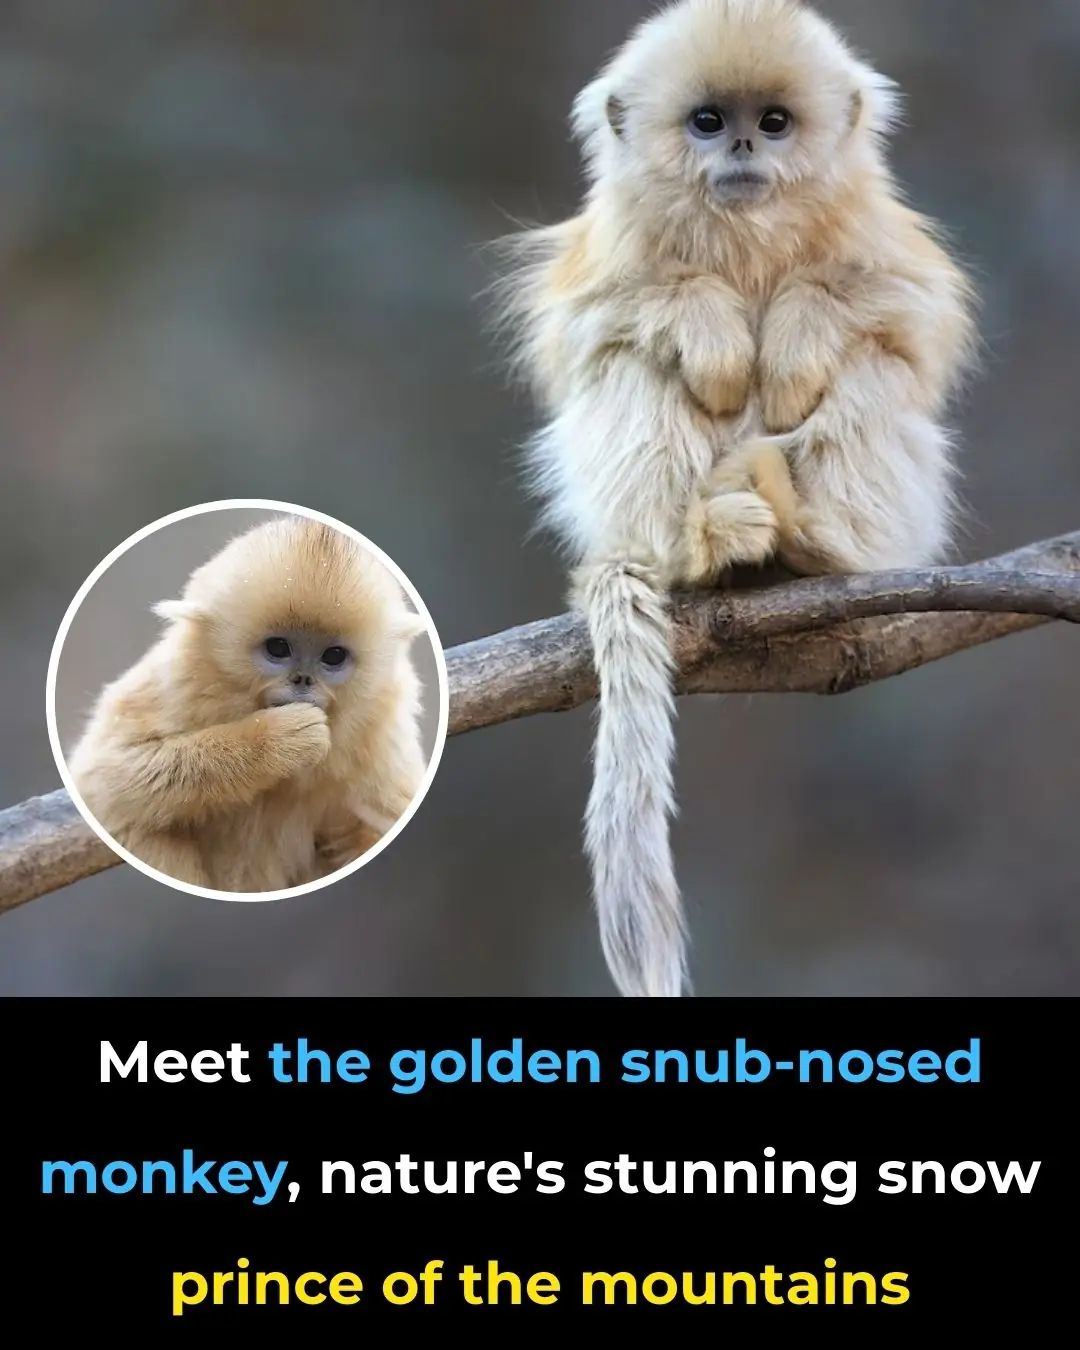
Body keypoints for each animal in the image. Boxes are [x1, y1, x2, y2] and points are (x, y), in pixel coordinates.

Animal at [67, 515, 430, 892]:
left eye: (333, 656)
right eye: (278, 648)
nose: (302, 680)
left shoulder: (380, 729)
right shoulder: (180, 679)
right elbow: (105, 773)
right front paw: (280, 739)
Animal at [492, 0, 978, 997]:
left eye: (777, 121)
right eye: (709, 121)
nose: (746, 146)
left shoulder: (882, 243)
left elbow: (907, 317)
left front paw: (791, 342)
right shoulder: (608, 257)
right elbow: (594, 327)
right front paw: (714, 331)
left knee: (872, 370)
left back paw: (813, 542)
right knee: (630, 366)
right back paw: (704, 546)